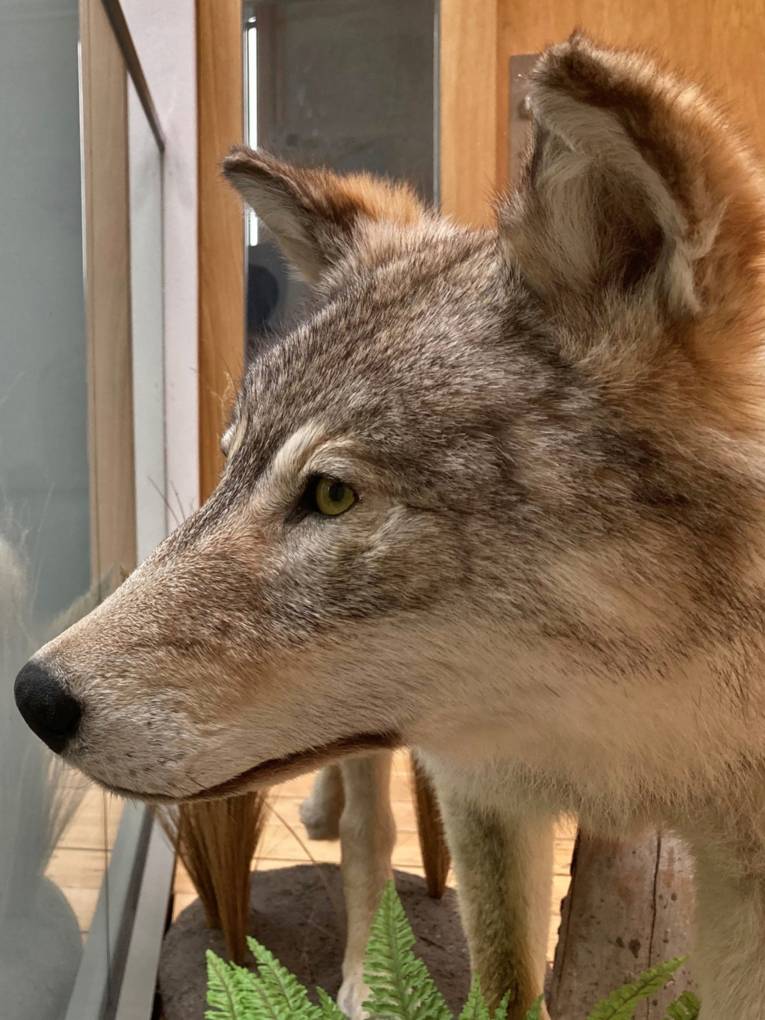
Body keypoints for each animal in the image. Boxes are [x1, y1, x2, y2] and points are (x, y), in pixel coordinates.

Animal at [14, 34, 765, 1019]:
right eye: (230, 465)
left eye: (332, 495)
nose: (32, 697)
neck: (637, 737)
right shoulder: (481, 790)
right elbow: (501, 983)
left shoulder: (739, 868)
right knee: (368, 836)